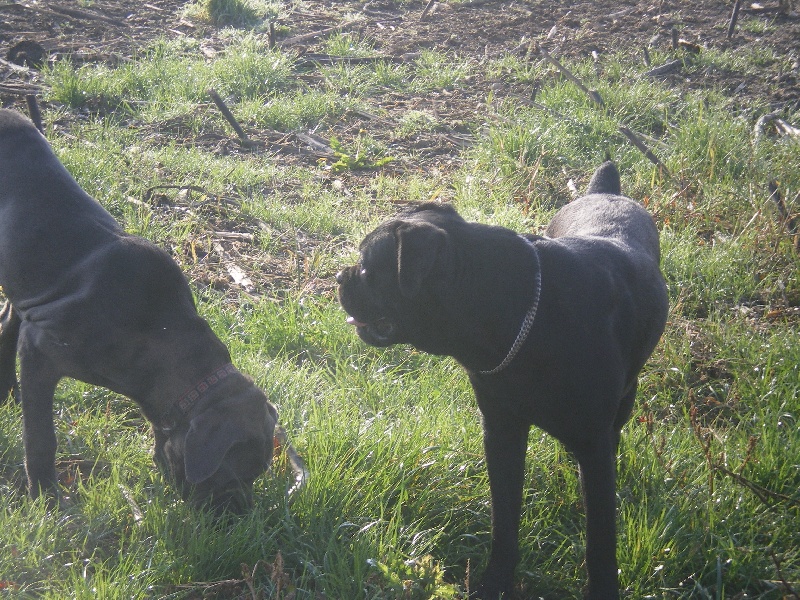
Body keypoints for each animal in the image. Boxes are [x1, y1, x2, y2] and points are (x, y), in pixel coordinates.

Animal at [337, 161, 668, 599]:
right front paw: (495, 582)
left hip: (624, 401)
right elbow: (504, 519)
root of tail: (606, 192)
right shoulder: (501, 432)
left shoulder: (593, 446)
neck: (523, 315)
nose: (339, 276)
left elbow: (600, 541)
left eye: (365, 267)